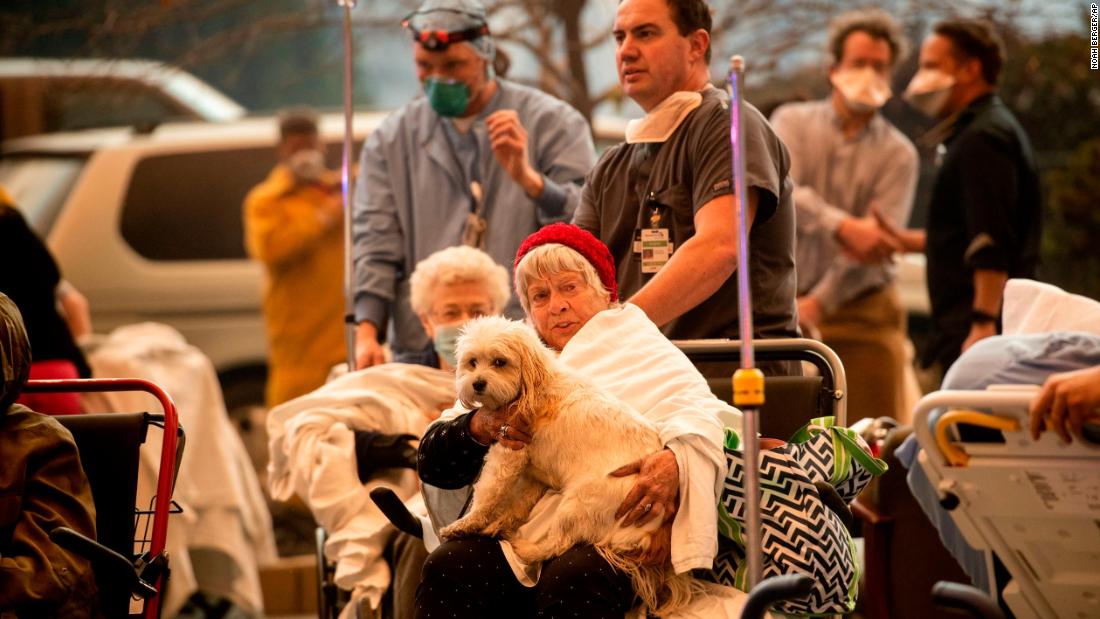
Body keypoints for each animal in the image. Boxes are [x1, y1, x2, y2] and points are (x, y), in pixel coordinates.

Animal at [437, 316, 695, 615]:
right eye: (472, 362)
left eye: (499, 362)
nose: (477, 383)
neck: (536, 383)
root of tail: (649, 533)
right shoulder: (532, 474)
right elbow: (517, 505)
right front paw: (498, 523)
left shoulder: (508, 454)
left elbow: (488, 494)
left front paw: (465, 525)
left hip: (576, 503)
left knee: (557, 544)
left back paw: (523, 547)